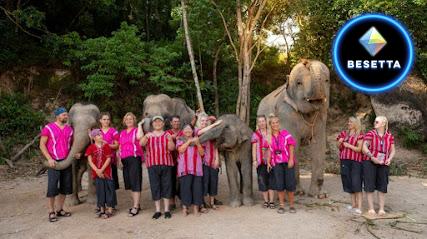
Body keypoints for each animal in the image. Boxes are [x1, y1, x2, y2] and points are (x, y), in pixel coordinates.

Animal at [258, 59, 332, 198]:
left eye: (327, 81)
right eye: (299, 83)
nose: (306, 61)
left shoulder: (322, 115)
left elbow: (319, 145)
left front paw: (319, 195)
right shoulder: (286, 114)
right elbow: (293, 146)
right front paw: (297, 193)